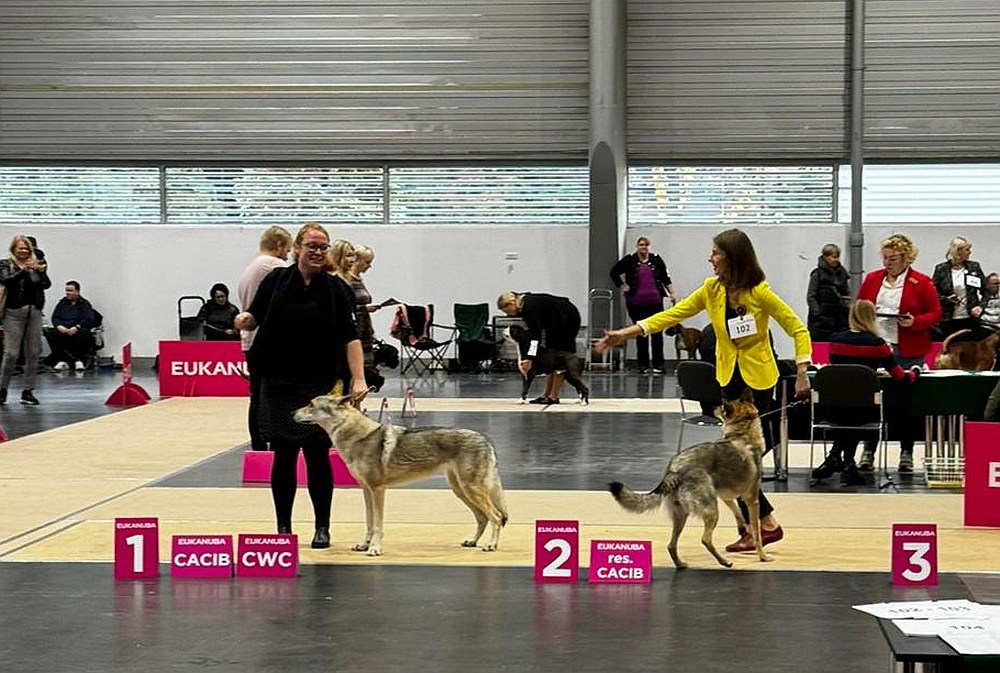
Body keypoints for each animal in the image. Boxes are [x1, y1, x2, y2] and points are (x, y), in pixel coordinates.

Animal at [294, 390, 508, 556]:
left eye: (310, 404)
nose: (292, 412)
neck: (358, 437)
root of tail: (485, 439)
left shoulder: (377, 490)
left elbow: (378, 524)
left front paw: (375, 549)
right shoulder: (366, 490)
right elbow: (369, 522)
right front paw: (364, 545)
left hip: (471, 489)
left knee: (496, 517)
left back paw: (491, 545)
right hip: (461, 491)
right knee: (483, 518)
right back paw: (472, 541)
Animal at [608, 388, 769, 569]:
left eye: (721, 408)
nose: (712, 407)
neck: (742, 433)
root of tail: (674, 470)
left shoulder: (727, 496)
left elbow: (738, 512)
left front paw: (742, 528)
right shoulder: (752, 500)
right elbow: (757, 533)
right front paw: (762, 556)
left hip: (681, 516)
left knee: (671, 545)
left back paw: (680, 564)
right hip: (712, 512)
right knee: (705, 539)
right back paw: (724, 561)